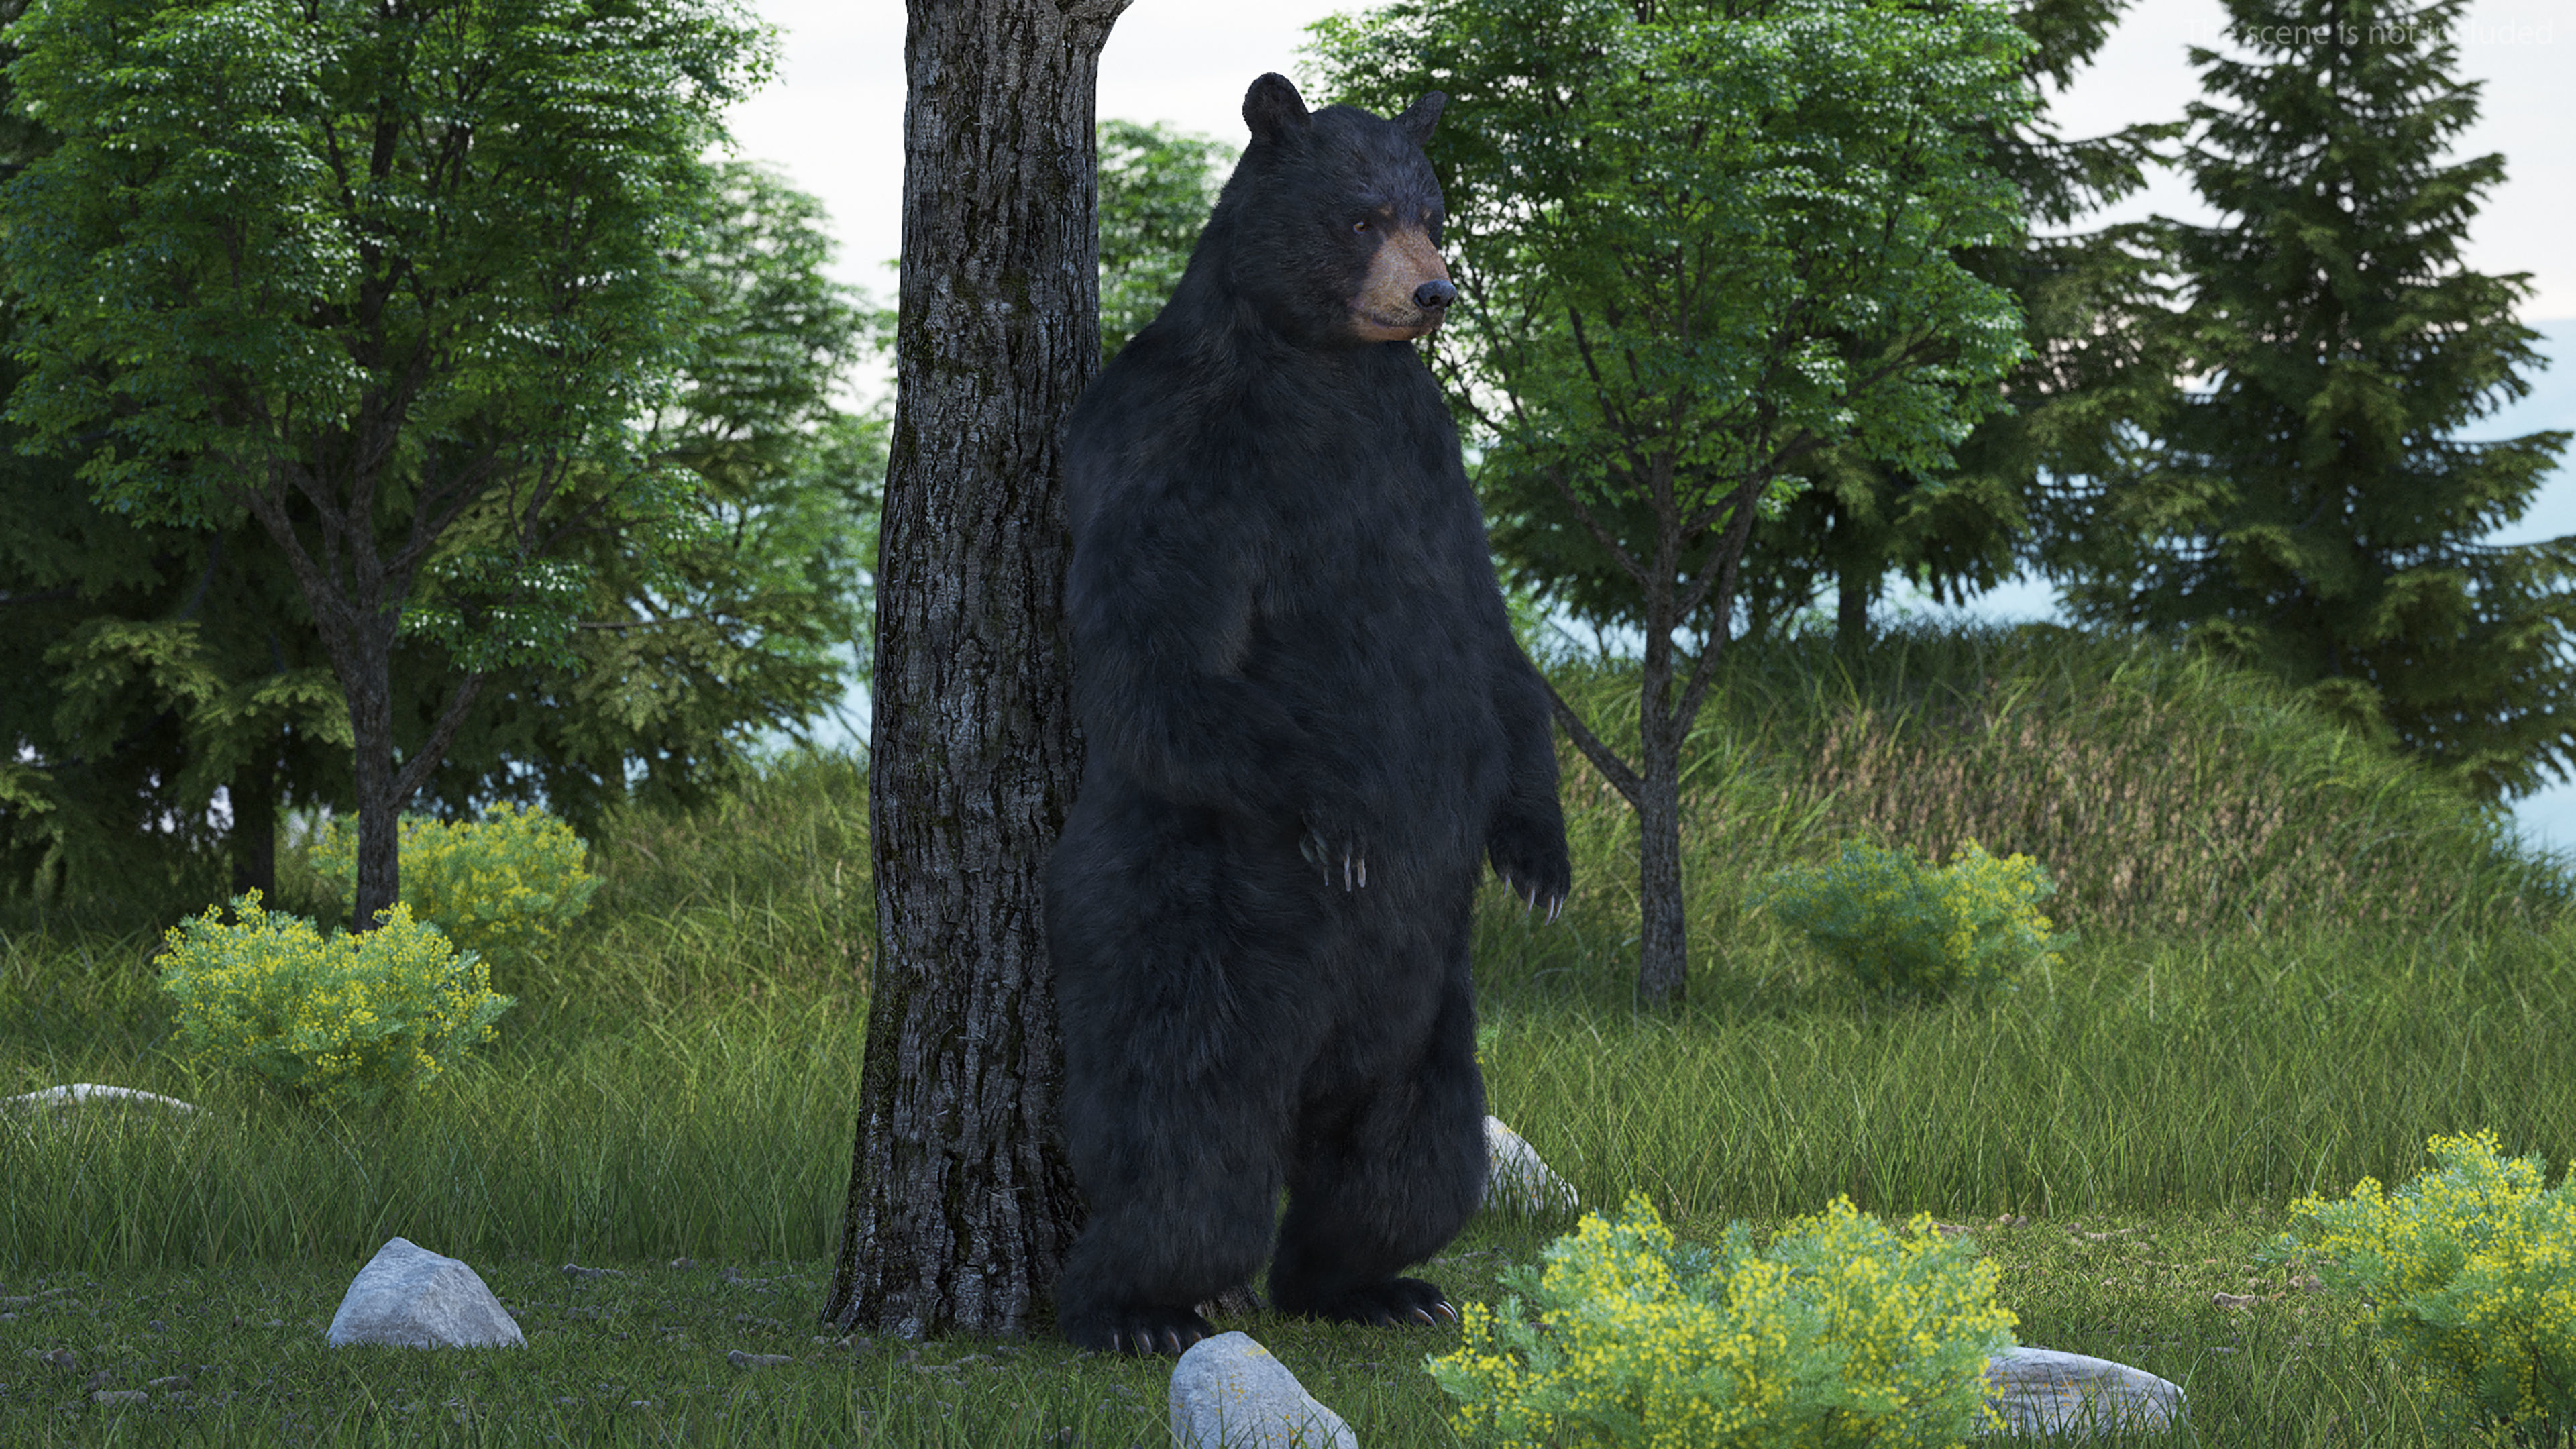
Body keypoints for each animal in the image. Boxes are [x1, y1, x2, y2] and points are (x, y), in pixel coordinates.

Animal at [1044, 72, 1572, 1357]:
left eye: (1435, 211)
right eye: (1360, 216)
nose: (1433, 292)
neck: (1321, 363)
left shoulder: (1427, 456)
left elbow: (1489, 646)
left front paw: (1539, 856)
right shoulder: (1178, 440)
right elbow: (1157, 659)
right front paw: (1348, 821)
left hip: (1434, 1009)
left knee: (1411, 1155)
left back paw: (1378, 1285)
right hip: (1184, 925)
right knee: (1187, 1142)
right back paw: (1134, 1309)